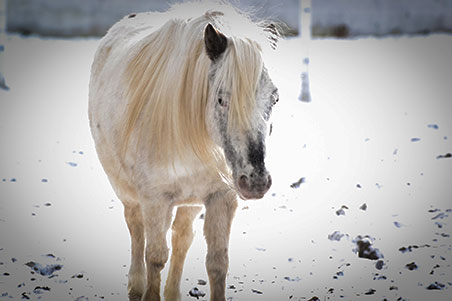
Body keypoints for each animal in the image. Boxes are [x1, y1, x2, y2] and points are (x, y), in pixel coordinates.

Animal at [88, 2, 278, 300]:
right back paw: (135, 286)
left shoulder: (221, 197)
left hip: (190, 201)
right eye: (221, 99)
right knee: (136, 230)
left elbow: (217, 263)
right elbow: (154, 257)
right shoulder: (154, 200)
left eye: (275, 98)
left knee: (182, 238)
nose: (256, 181)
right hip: (127, 191)